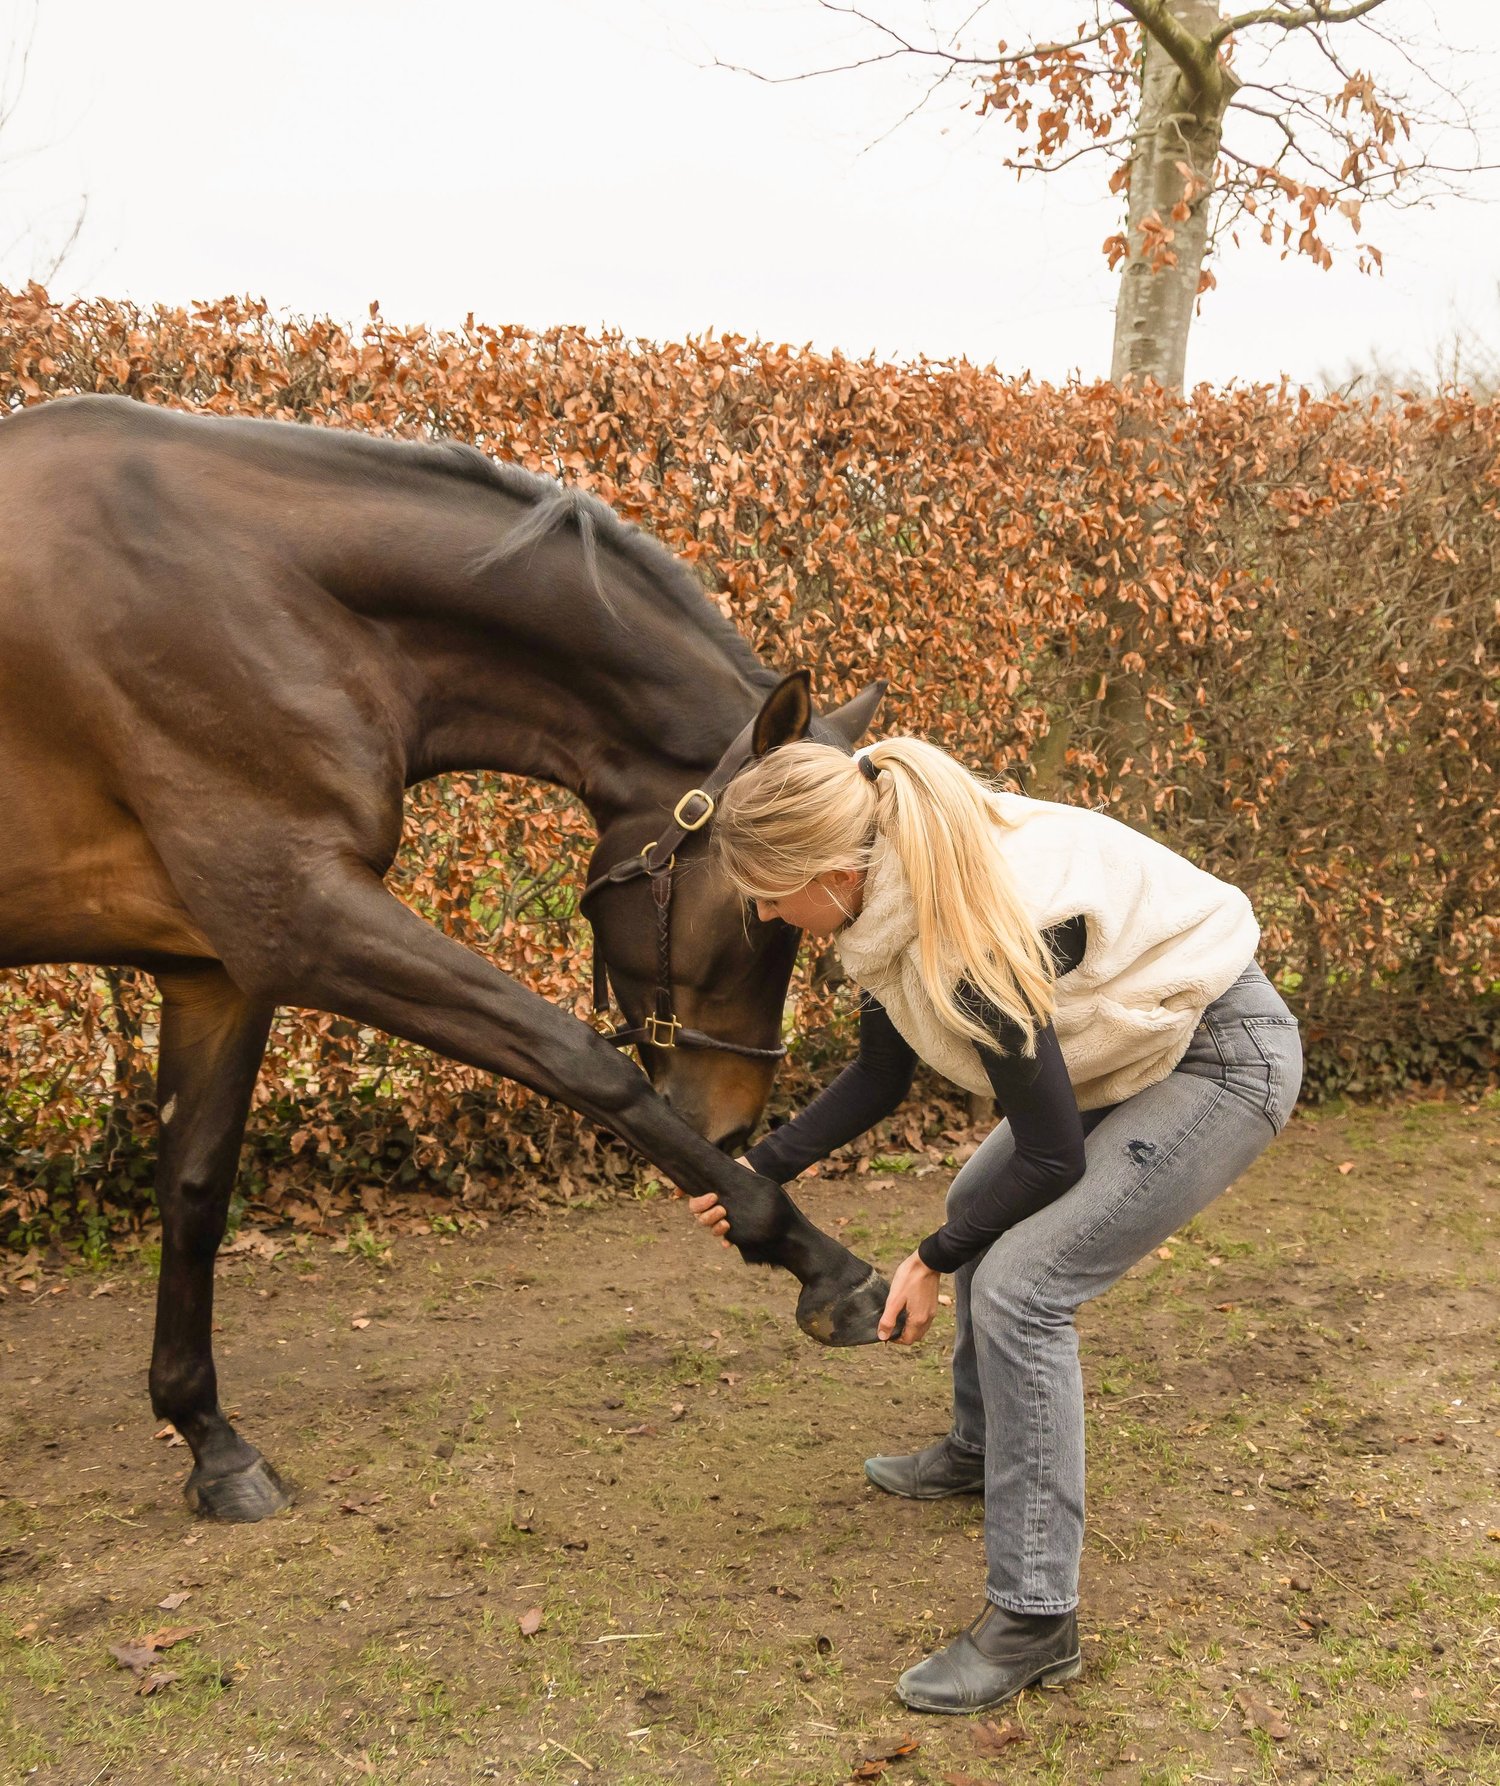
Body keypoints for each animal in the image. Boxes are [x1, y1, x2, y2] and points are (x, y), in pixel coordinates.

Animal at [0, 394, 892, 1522]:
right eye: (762, 908)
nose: (736, 1121)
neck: (252, 587)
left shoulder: (221, 971)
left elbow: (195, 1190)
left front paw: (209, 1438)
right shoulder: (305, 917)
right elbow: (578, 1059)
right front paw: (824, 1266)